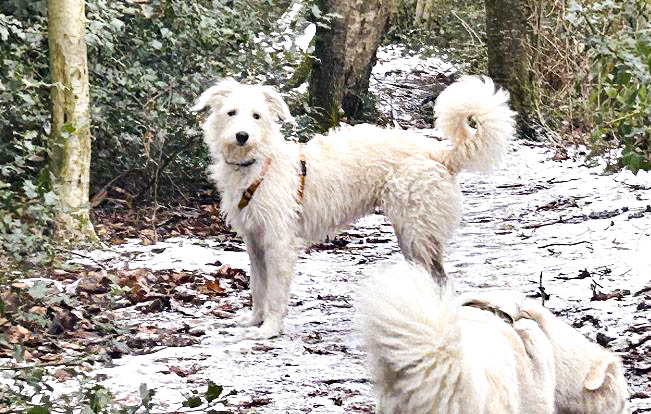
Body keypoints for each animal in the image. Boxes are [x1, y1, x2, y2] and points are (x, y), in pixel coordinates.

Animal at [191, 76, 515, 338]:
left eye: (257, 116)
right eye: (231, 113)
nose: (242, 136)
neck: (260, 165)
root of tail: (438, 153)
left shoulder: (279, 243)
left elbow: (275, 294)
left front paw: (269, 329)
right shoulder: (255, 242)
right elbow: (258, 288)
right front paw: (254, 321)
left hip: (416, 231)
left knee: (440, 279)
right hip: (412, 234)